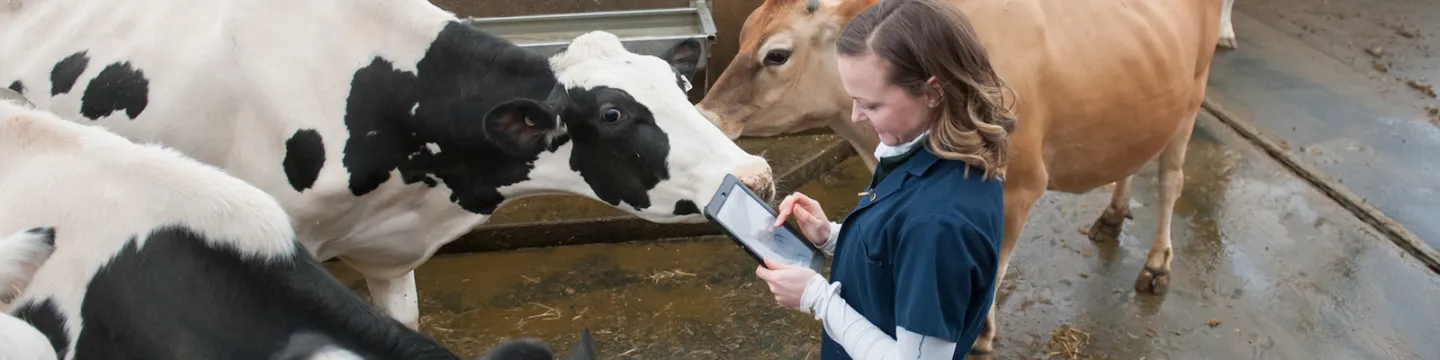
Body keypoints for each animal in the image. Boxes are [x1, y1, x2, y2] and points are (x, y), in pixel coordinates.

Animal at [696, 0, 1226, 354]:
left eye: (776, 55)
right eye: (742, 32)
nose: (704, 113)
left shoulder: (1022, 185)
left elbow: (995, 269)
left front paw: (984, 334)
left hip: (1193, 95)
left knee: (1172, 179)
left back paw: (1156, 265)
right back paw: (1113, 217)